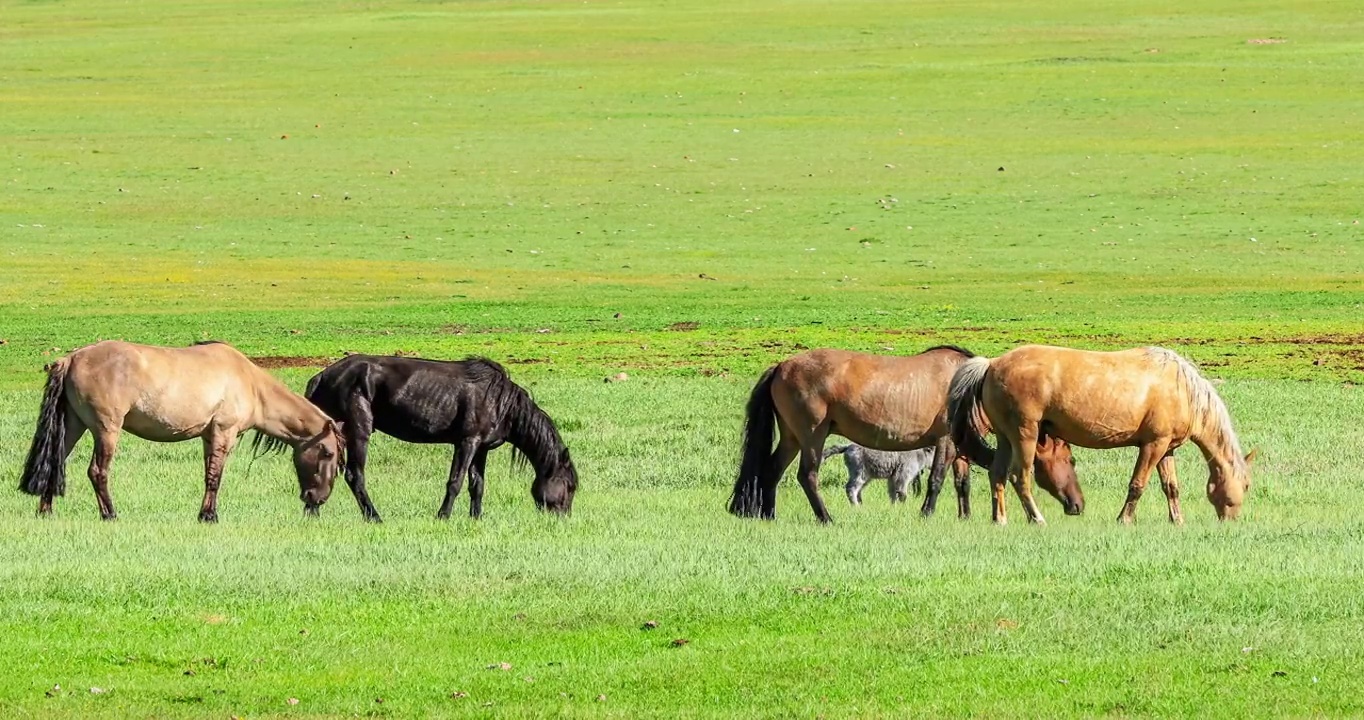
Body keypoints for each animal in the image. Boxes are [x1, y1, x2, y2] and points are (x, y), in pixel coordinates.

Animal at [17, 340, 343, 520]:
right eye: (327, 453)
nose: (318, 499)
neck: (250, 384)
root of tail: (71, 358)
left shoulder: (209, 437)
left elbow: (208, 475)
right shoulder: (224, 433)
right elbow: (215, 477)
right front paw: (209, 516)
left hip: (74, 425)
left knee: (54, 464)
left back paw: (46, 511)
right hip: (106, 429)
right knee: (98, 471)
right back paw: (110, 514)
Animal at [301, 351, 578, 518]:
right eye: (570, 486)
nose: (562, 518)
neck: (500, 402)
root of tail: (322, 376)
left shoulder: (481, 448)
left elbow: (477, 485)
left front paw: (476, 518)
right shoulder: (466, 442)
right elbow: (455, 482)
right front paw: (443, 516)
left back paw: (312, 512)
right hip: (359, 431)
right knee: (354, 475)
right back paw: (374, 517)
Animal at [812, 444, 943, 507]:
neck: (919, 453)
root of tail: (848, 447)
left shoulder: (892, 477)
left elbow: (892, 492)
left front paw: (893, 505)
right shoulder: (904, 473)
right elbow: (901, 490)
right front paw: (903, 503)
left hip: (866, 476)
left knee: (858, 490)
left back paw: (861, 504)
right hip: (860, 473)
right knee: (851, 488)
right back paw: (856, 505)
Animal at [949, 343, 1254, 523]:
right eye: (1248, 485)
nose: (1231, 519)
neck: (1182, 389)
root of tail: (992, 364)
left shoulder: (1166, 448)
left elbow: (1171, 487)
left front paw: (1177, 520)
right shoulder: (1153, 446)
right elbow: (1137, 484)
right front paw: (1124, 519)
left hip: (1005, 438)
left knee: (997, 475)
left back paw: (999, 519)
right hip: (1025, 435)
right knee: (1019, 477)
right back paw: (1036, 518)